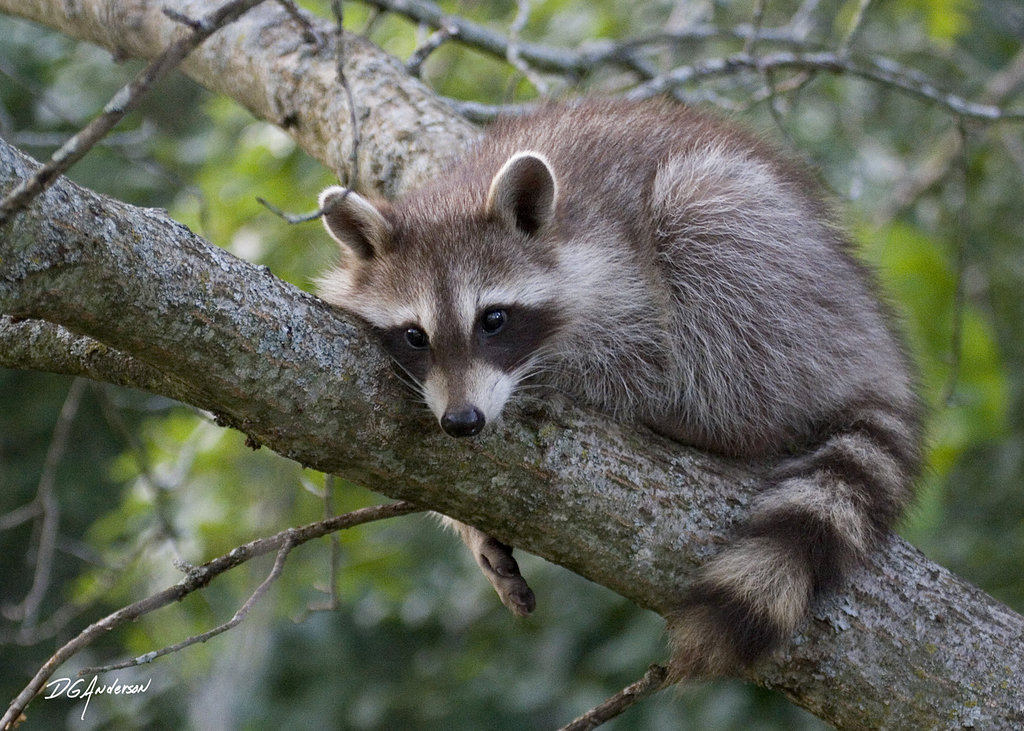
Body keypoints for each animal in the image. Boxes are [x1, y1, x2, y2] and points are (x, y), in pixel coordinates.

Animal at [315, 98, 922, 679]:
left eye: (493, 320)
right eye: (415, 336)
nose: (462, 422)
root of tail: (874, 344)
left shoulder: (621, 276)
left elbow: (645, 363)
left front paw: (562, 380)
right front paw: (469, 526)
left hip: (786, 278)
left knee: (711, 247)